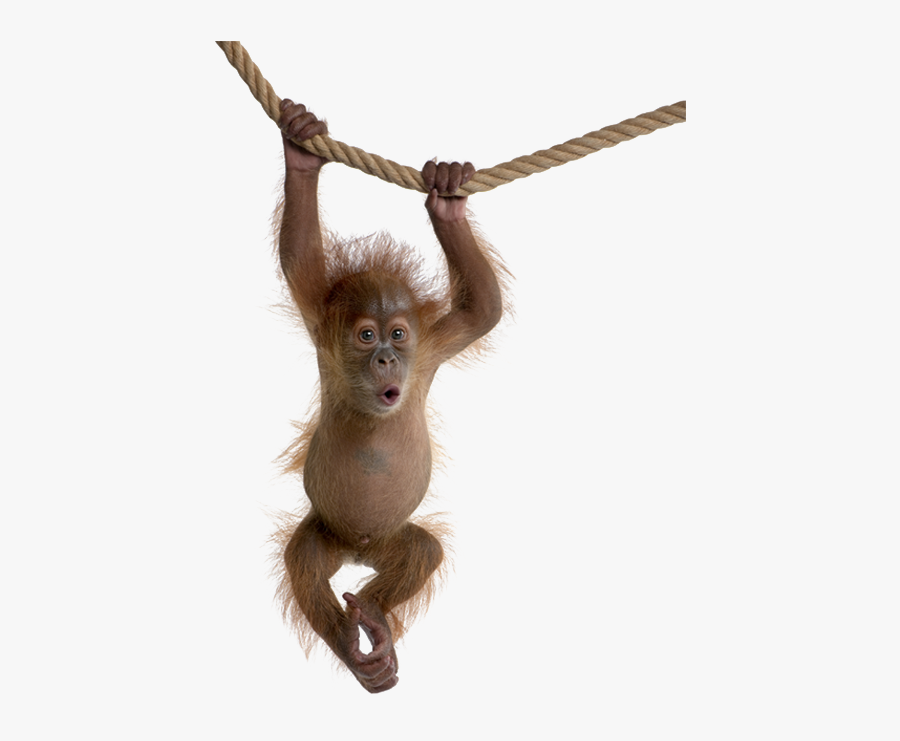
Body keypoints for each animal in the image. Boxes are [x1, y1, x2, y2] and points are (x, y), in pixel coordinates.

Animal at [271, 100, 506, 693]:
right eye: (366, 336)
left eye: (398, 334)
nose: (386, 359)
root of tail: (359, 550)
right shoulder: (321, 324)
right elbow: (298, 255)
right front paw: (301, 153)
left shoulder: (433, 348)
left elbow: (483, 309)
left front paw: (448, 199)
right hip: (327, 533)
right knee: (304, 561)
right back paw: (355, 649)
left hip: (391, 540)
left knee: (422, 550)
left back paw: (375, 620)